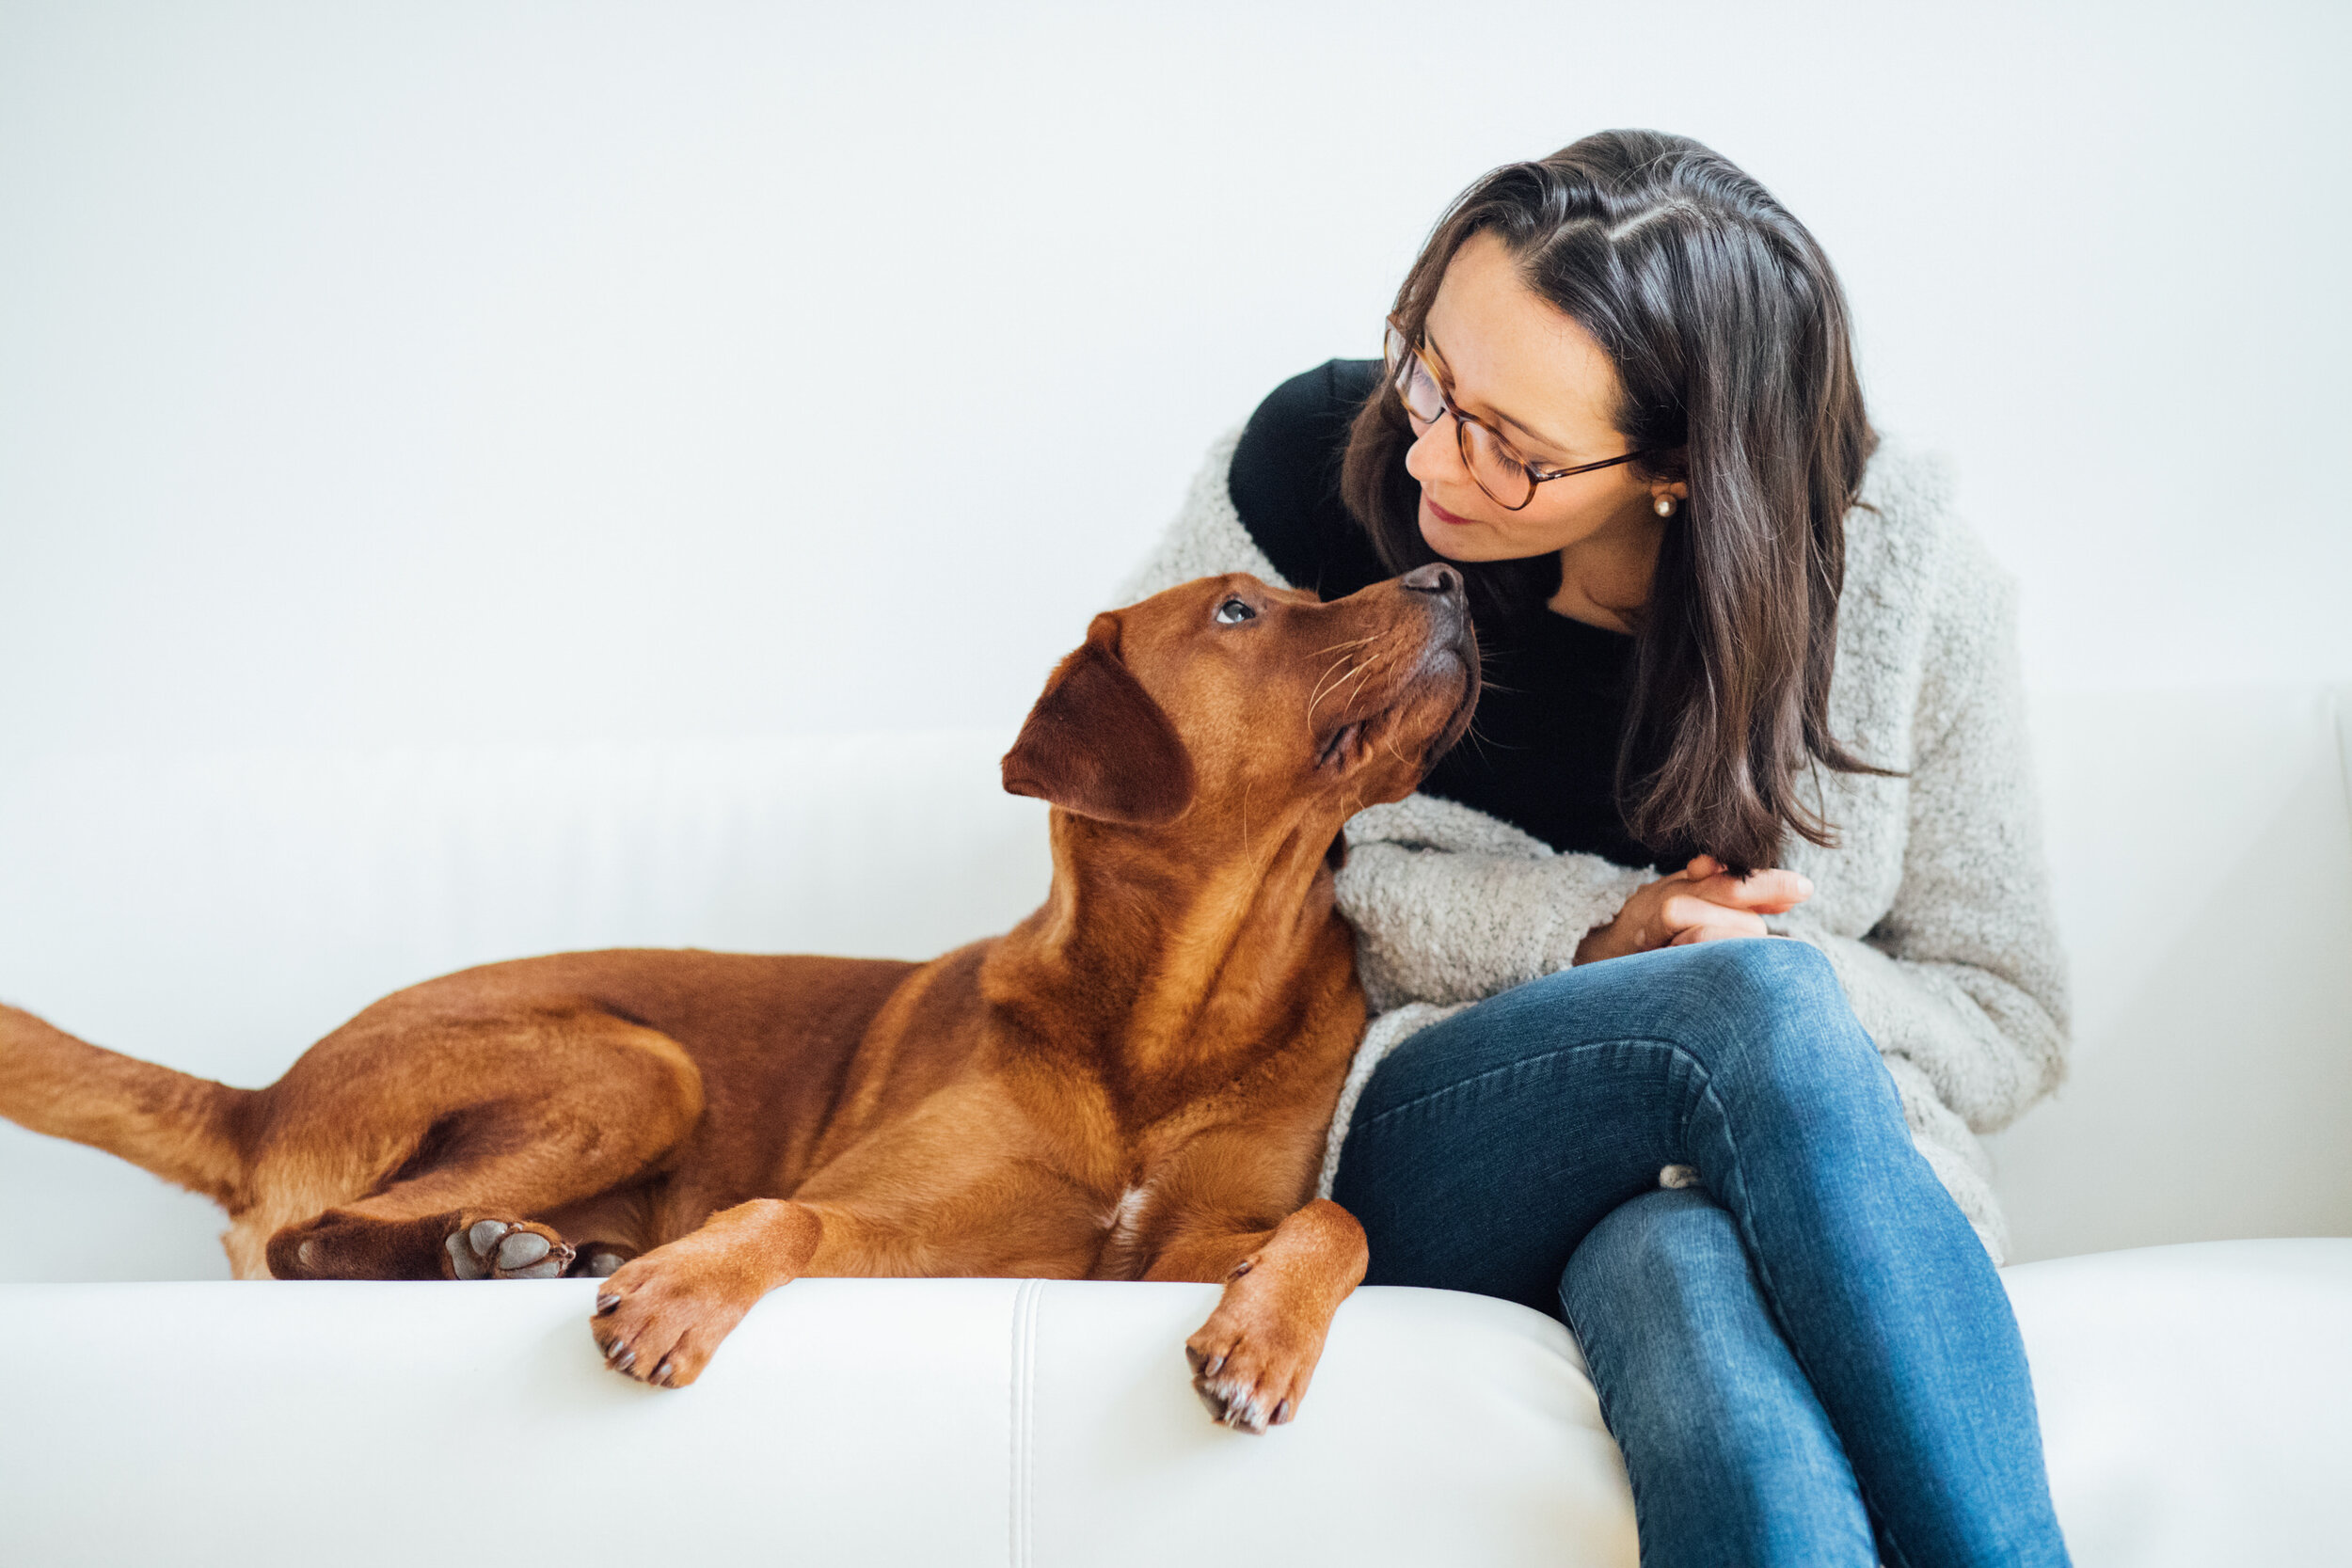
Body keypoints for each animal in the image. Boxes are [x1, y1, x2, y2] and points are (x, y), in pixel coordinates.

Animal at [0, 566, 1468, 1438]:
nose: (1448, 574)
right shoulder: (904, 1228)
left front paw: (1265, 1336)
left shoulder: (1182, 1248)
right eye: (1240, 612)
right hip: (643, 1065)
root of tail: (257, 1098)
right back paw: (508, 1257)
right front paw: (685, 1288)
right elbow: (785, 1210)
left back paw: (515, 1251)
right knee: (317, 1241)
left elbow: (1337, 1221)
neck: (1172, 1012)